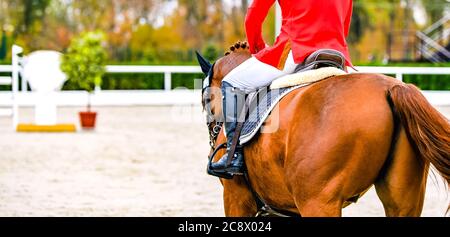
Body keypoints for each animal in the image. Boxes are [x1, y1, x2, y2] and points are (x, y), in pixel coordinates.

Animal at [200, 43, 450, 217]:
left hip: (317, 202)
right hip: (403, 199)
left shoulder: (235, 198)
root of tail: (391, 87)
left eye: (205, 99)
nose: (213, 142)